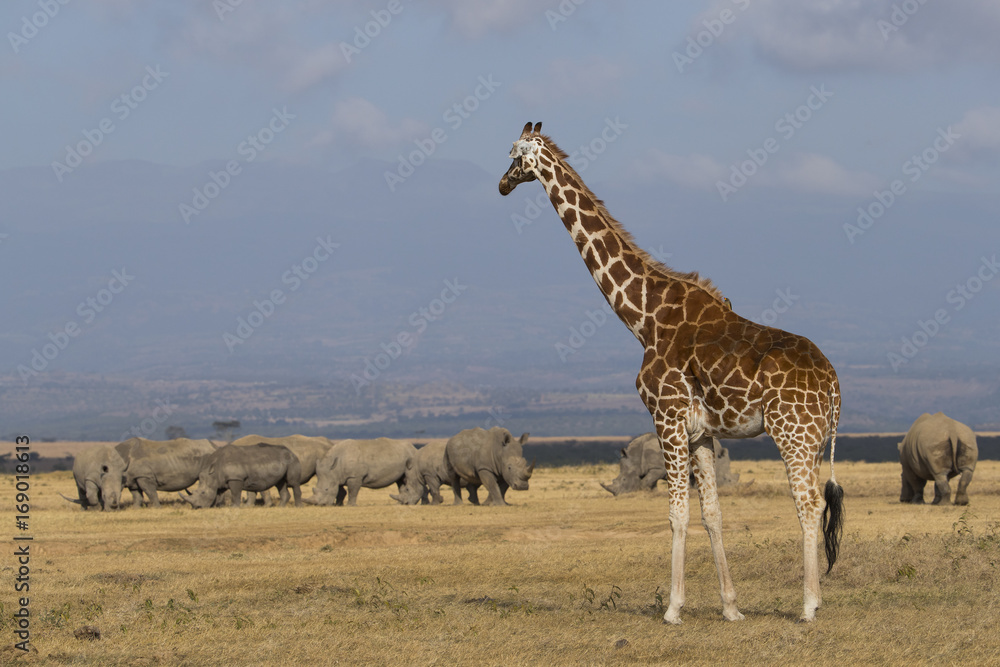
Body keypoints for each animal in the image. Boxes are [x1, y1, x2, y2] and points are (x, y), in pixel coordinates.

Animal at [498, 122, 844, 624]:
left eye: (515, 153)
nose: (502, 184)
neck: (644, 317)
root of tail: (834, 384)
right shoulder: (700, 431)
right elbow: (711, 514)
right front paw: (731, 608)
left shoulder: (666, 416)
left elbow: (676, 513)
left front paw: (673, 608)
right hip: (815, 440)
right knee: (813, 502)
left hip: (791, 432)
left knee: (809, 504)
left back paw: (809, 605)